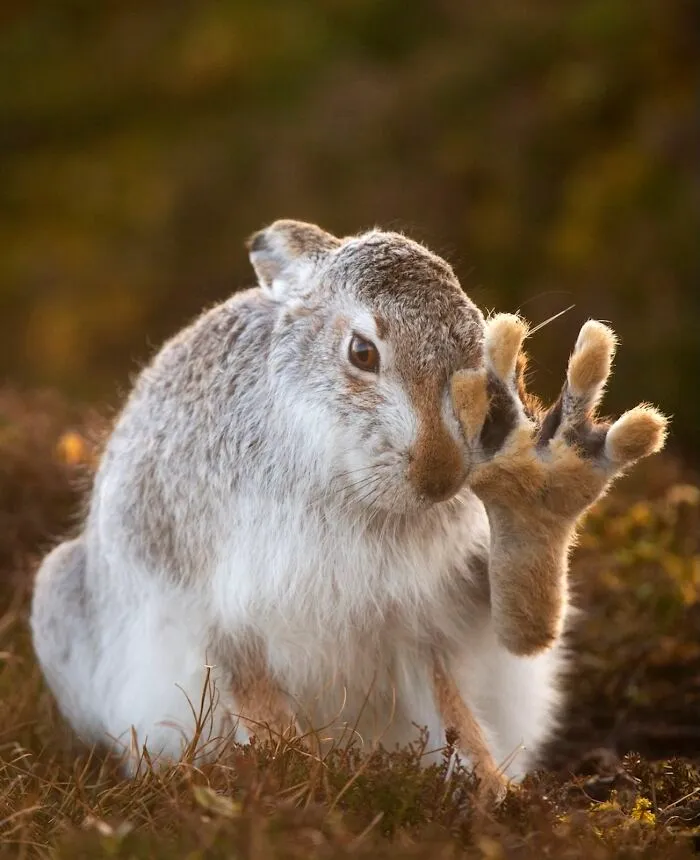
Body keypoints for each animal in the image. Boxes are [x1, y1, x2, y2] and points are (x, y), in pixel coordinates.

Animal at [30, 219, 668, 794]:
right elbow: (254, 699)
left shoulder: (423, 623)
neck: (348, 480)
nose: (440, 476)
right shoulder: (217, 607)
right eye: (362, 352)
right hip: (57, 595)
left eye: (483, 361)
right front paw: (292, 776)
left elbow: (498, 665)